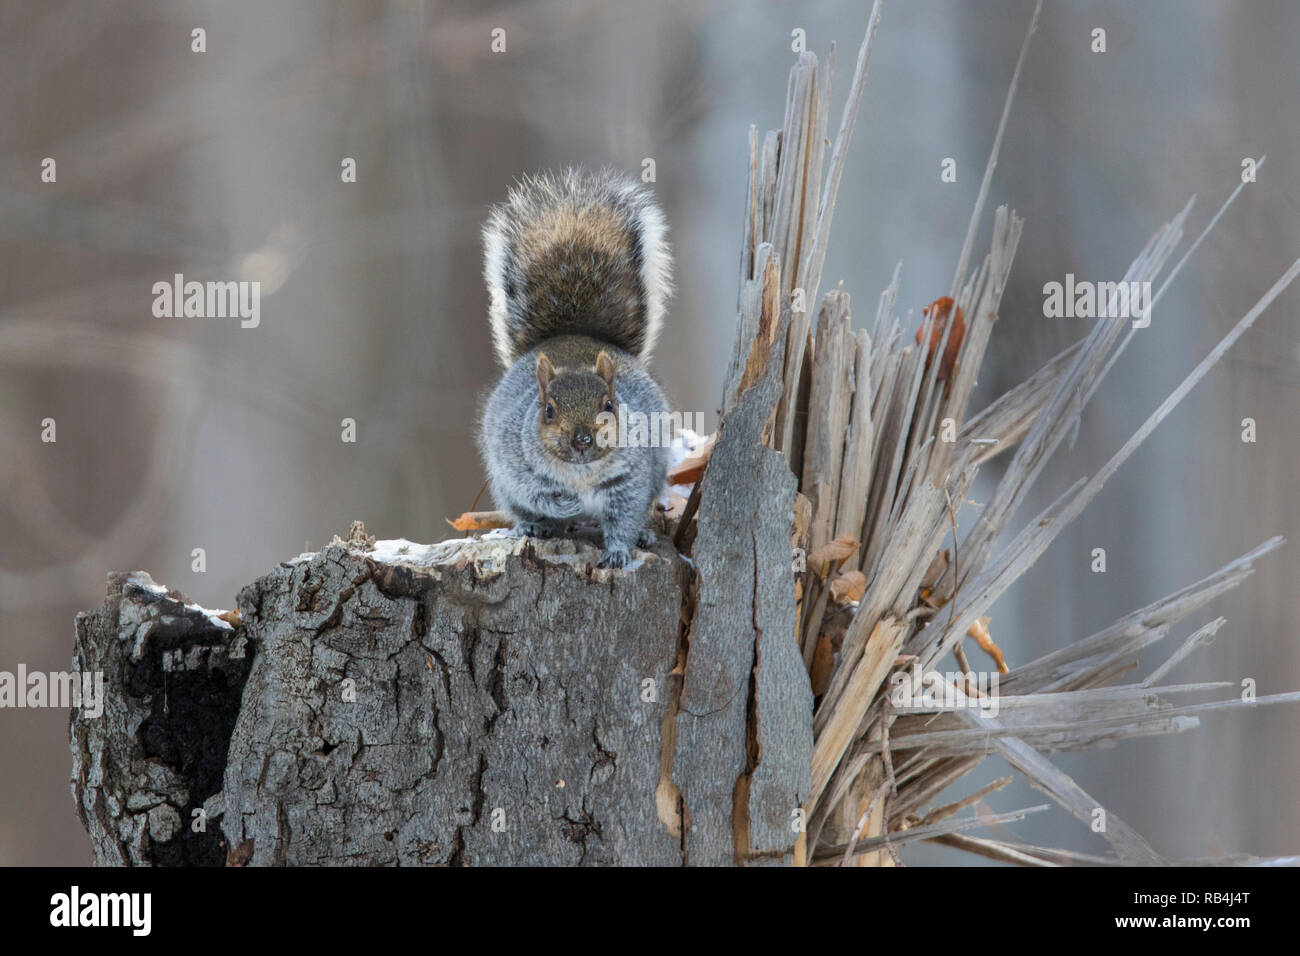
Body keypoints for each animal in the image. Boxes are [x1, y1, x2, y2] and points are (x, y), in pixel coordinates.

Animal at [480, 170, 681, 567]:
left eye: (610, 405)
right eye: (548, 410)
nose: (583, 440)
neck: (581, 472)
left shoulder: (629, 483)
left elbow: (623, 519)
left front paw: (618, 552)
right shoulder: (519, 468)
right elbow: (538, 494)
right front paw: (565, 505)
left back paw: (645, 535)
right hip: (502, 481)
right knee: (520, 507)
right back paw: (533, 526)